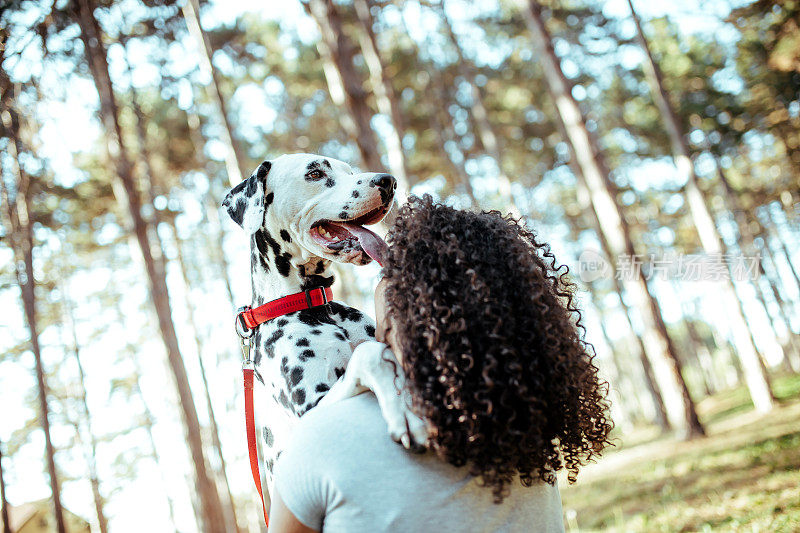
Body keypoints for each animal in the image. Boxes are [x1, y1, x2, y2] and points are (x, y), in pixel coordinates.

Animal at [222, 152, 428, 488]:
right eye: (315, 173)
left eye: (351, 171)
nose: (388, 181)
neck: (317, 305)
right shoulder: (313, 407)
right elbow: (368, 354)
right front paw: (405, 413)